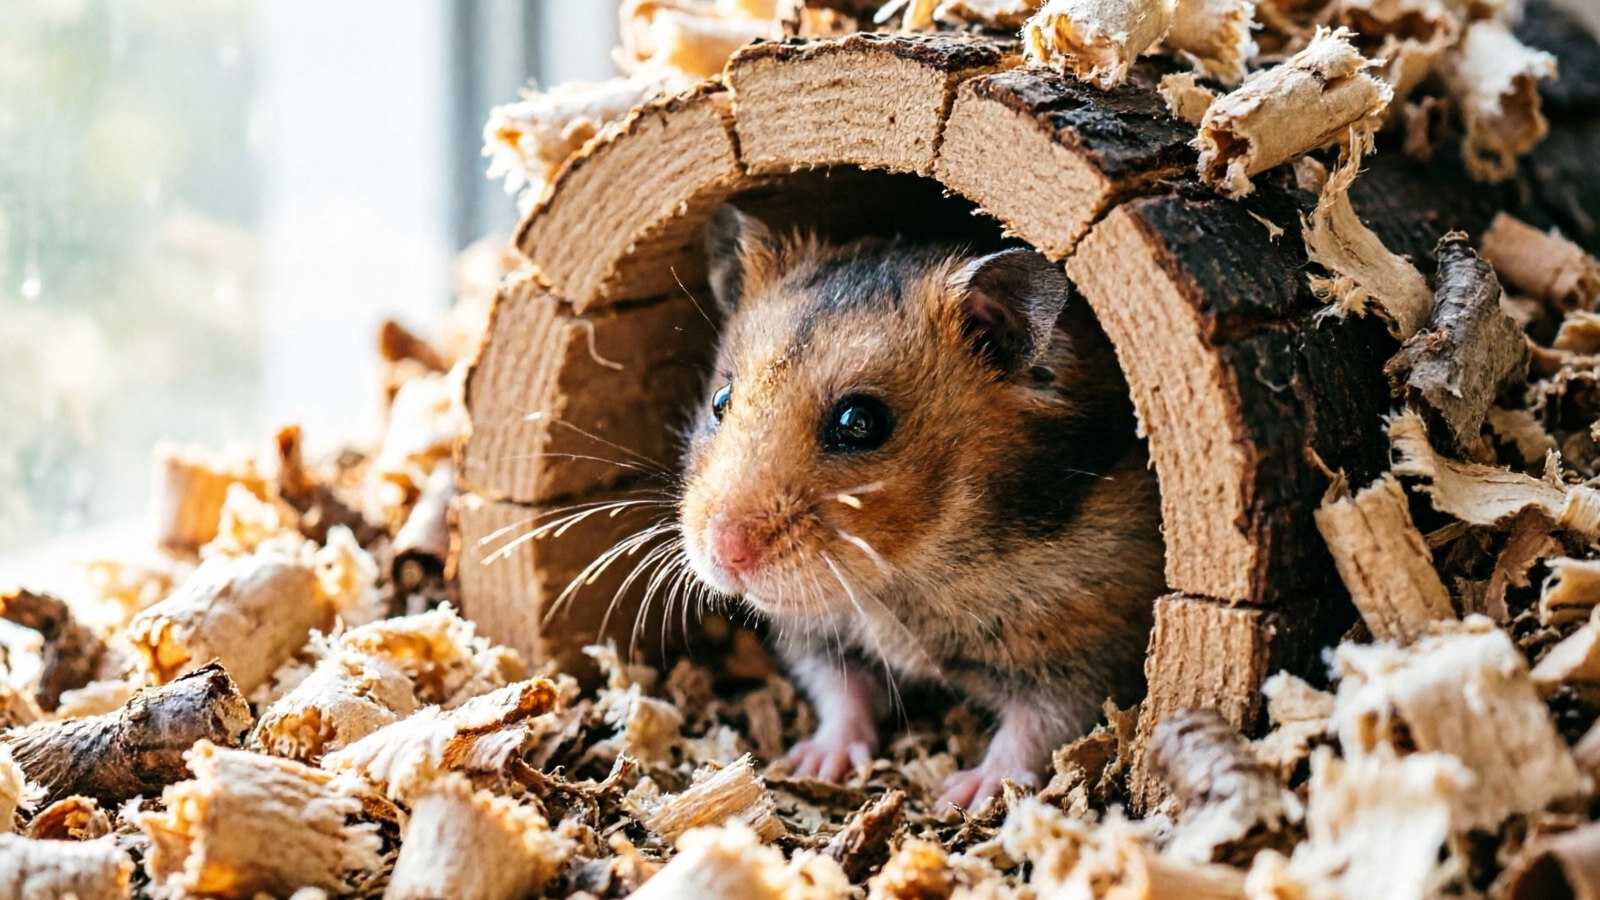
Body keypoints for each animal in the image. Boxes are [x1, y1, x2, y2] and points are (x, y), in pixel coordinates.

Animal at [677, 205, 1167, 811]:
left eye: (859, 422)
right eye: (720, 401)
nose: (725, 554)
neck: (904, 582)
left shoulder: (1090, 644)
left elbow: (1040, 726)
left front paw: (963, 795)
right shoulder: (816, 637)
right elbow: (841, 692)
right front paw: (815, 762)